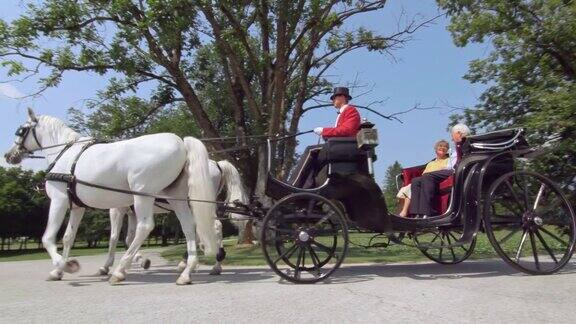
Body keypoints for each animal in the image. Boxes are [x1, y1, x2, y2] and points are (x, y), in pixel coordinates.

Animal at [4, 109, 218, 286]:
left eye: (21, 131)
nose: (8, 155)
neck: (65, 153)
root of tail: (181, 143)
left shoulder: (59, 200)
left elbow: (48, 237)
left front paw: (66, 265)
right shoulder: (77, 207)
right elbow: (68, 238)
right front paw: (58, 271)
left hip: (142, 193)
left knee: (145, 226)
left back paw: (120, 271)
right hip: (175, 197)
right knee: (189, 226)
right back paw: (186, 272)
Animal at [100, 159, 248, 276]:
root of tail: (216, 164)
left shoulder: (117, 209)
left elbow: (114, 237)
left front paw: (106, 266)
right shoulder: (133, 213)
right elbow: (129, 238)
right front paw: (139, 260)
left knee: (214, 226)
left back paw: (215, 262)